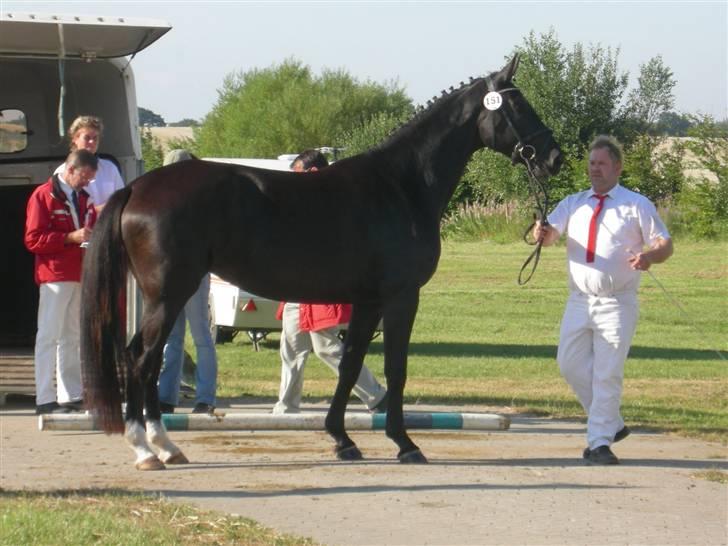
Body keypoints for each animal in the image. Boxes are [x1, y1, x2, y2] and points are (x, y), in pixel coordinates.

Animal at [84, 56, 564, 468]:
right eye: (517, 105)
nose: (554, 157)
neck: (402, 185)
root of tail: (138, 187)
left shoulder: (367, 301)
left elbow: (350, 365)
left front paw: (342, 439)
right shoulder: (401, 297)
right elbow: (395, 368)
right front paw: (404, 443)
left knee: (143, 360)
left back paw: (166, 447)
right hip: (169, 293)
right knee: (140, 360)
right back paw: (147, 449)